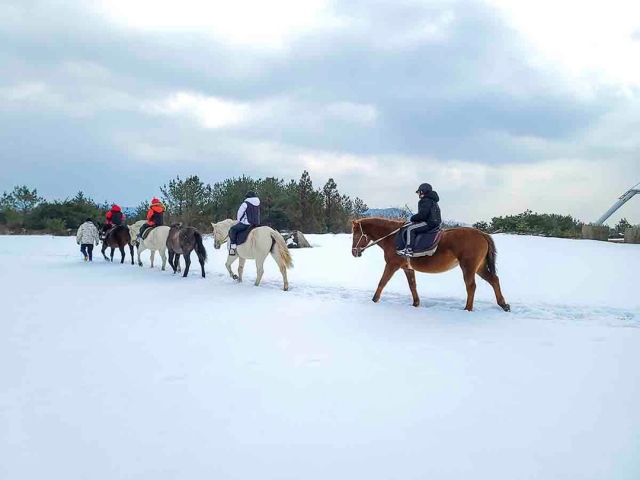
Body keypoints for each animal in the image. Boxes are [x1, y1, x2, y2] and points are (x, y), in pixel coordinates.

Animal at [350, 218, 510, 312]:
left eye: (356, 234)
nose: (354, 252)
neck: (393, 237)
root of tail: (482, 234)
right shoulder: (407, 268)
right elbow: (412, 286)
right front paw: (416, 303)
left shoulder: (392, 265)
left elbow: (382, 282)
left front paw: (374, 300)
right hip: (479, 267)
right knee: (494, 280)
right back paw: (503, 305)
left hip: (468, 267)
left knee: (471, 286)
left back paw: (468, 309)